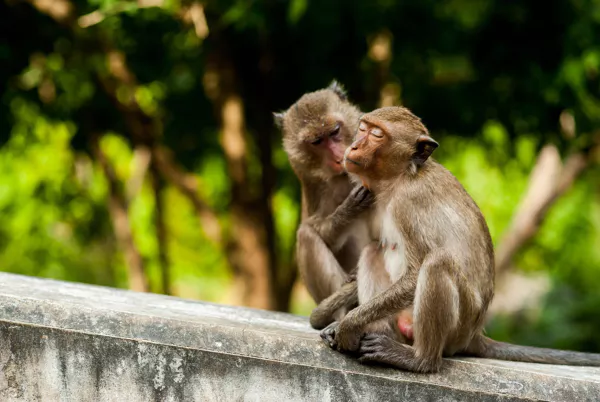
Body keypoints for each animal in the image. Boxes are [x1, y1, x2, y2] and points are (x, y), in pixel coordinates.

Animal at [274, 81, 372, 326]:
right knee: (306, 235)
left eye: (335, 131)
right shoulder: (320, 189)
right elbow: (323, 235)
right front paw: (349, 209)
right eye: (317, 141)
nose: (340, 156)